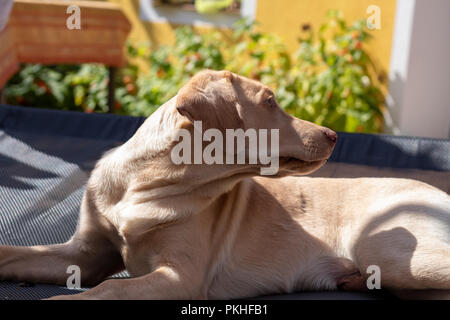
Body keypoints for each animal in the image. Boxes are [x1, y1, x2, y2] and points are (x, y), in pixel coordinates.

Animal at [0, 70, 450, 300]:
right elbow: (14, 254)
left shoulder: (180, 277)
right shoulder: (84, 253)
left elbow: (104, 292)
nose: (334, 134)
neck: (145, 186)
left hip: (386, 252)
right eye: (270, 101)